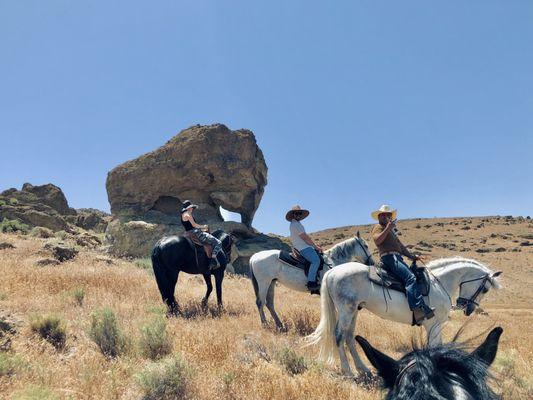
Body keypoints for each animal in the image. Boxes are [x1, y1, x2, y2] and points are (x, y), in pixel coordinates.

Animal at [306, 258, 500, 376]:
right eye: (485, 289)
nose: (468, 308)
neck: (439, 283)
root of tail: (331, 273)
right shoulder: (433, 325)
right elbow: (435, 347)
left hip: (354, 311)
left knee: (349, 336)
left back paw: (363, 369)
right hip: (346, 310)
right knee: (339, 336)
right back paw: (348, 370)